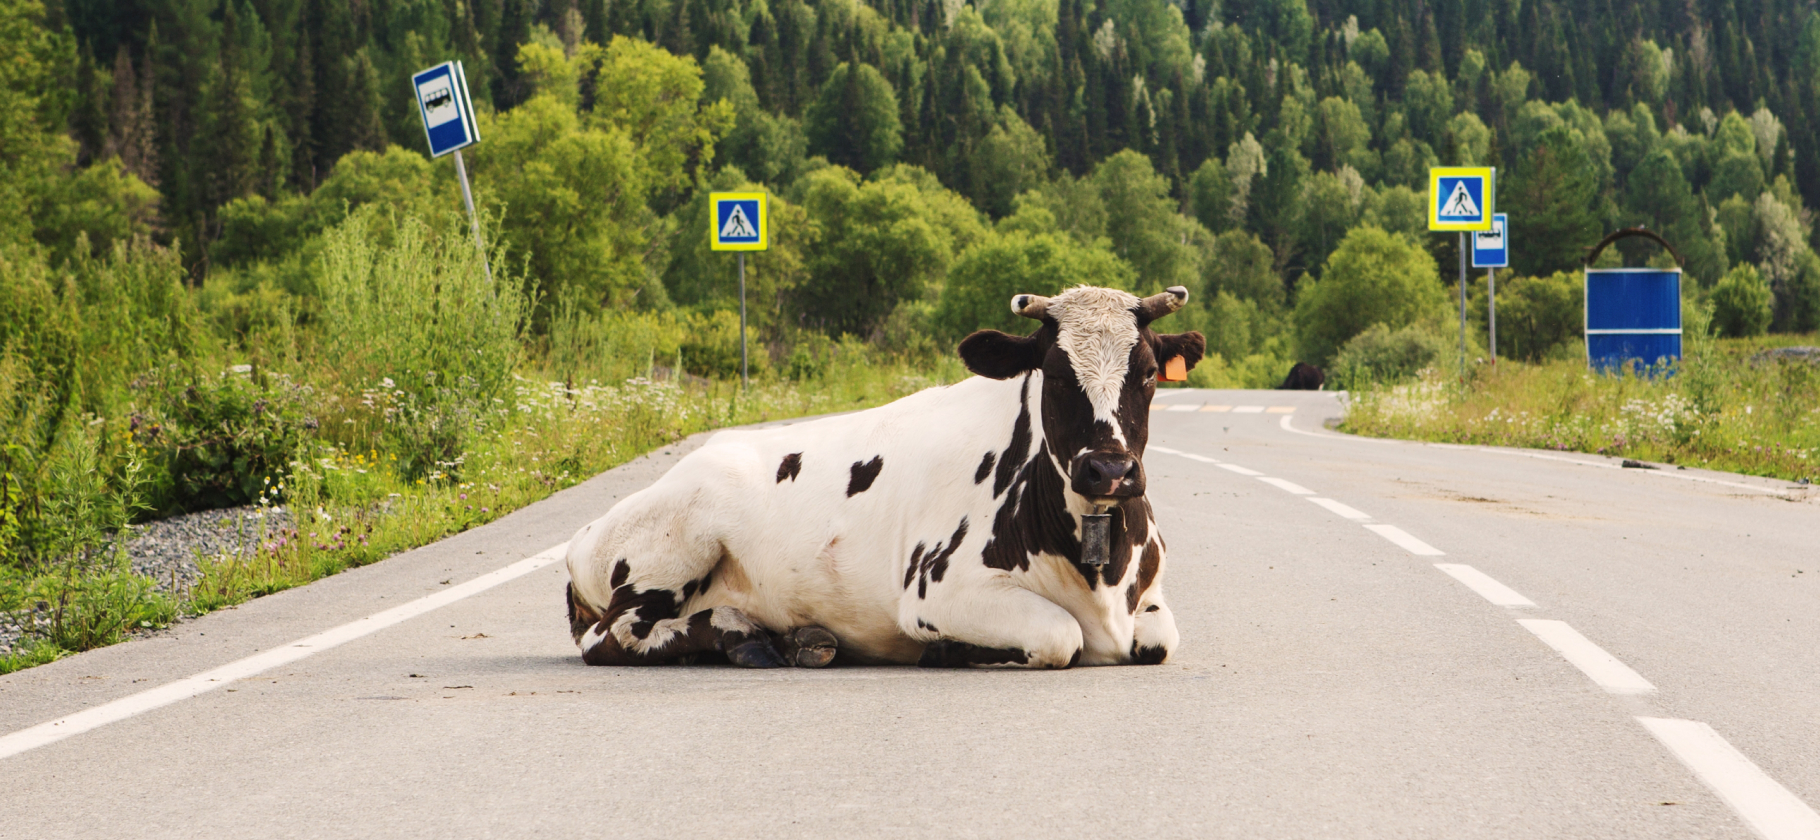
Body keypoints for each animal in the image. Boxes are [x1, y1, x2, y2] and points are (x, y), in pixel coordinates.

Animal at [560, 285, 1201, 665]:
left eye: (1148, 372)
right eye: (1056, 373)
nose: (1109, 468)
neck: (1100, 577)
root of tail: (584, 534)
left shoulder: (1150, 602)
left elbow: (1159, 641)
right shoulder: (939, 591)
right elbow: (1058, 636)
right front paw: (948, 651)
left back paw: (793, 639)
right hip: (674, 547)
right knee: (612, 636)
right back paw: (743, 636)